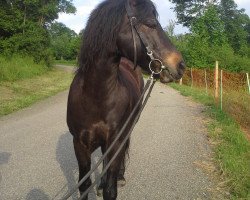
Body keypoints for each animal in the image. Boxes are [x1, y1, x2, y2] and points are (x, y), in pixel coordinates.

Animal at [67, 0, 185, 200]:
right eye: (151, 23)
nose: (180, 65)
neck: (95, 97)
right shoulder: (79, 145)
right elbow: (84, 186)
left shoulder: (116, 140)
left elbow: (110, 189)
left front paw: (112, 181)